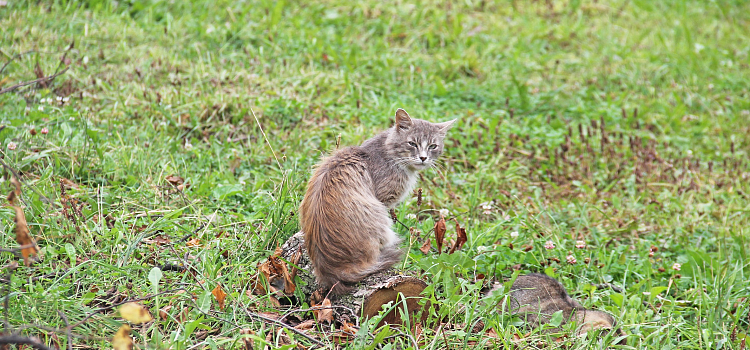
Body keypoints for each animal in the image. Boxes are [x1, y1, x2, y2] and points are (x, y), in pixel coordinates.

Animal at [302, 108, 458, 294]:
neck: (387, 152)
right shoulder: (383, 200)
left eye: (433, 146)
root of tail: (330, 270)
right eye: (412, 143)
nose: (423, 158)